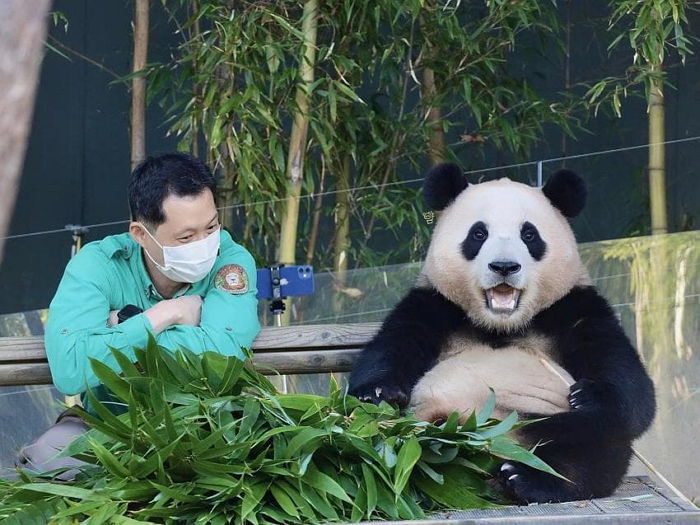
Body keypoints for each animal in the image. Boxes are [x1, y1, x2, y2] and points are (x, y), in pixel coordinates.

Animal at [348, 164, 656, 504]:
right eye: (478, 234)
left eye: (529, 235)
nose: (504, 266)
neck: (501, 325)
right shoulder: (435, 304)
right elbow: (394, 343)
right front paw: (378, 391)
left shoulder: (573, 306)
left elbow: (627, 382)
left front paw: (588, 395)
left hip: (544, 421)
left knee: (592, 446)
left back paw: (525, 477)